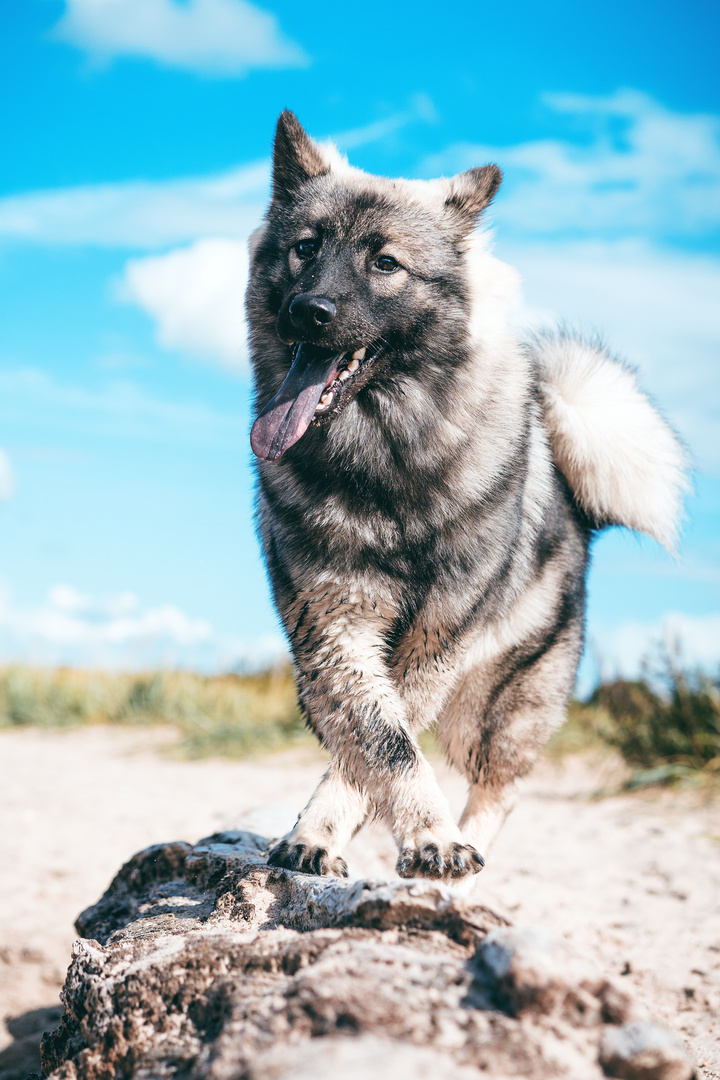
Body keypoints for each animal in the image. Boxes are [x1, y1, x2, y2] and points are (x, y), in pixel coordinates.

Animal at [245, 111, 690, 876]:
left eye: (385, 264)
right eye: (306, 249)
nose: (310, 311)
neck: (385, 462)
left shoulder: (436, 640)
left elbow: (388, 744)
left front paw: (435, 839)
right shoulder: (335, 629)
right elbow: (378, 740)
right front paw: (328, 835)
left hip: (496, 709)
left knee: (498, 789)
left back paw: (470, 852)